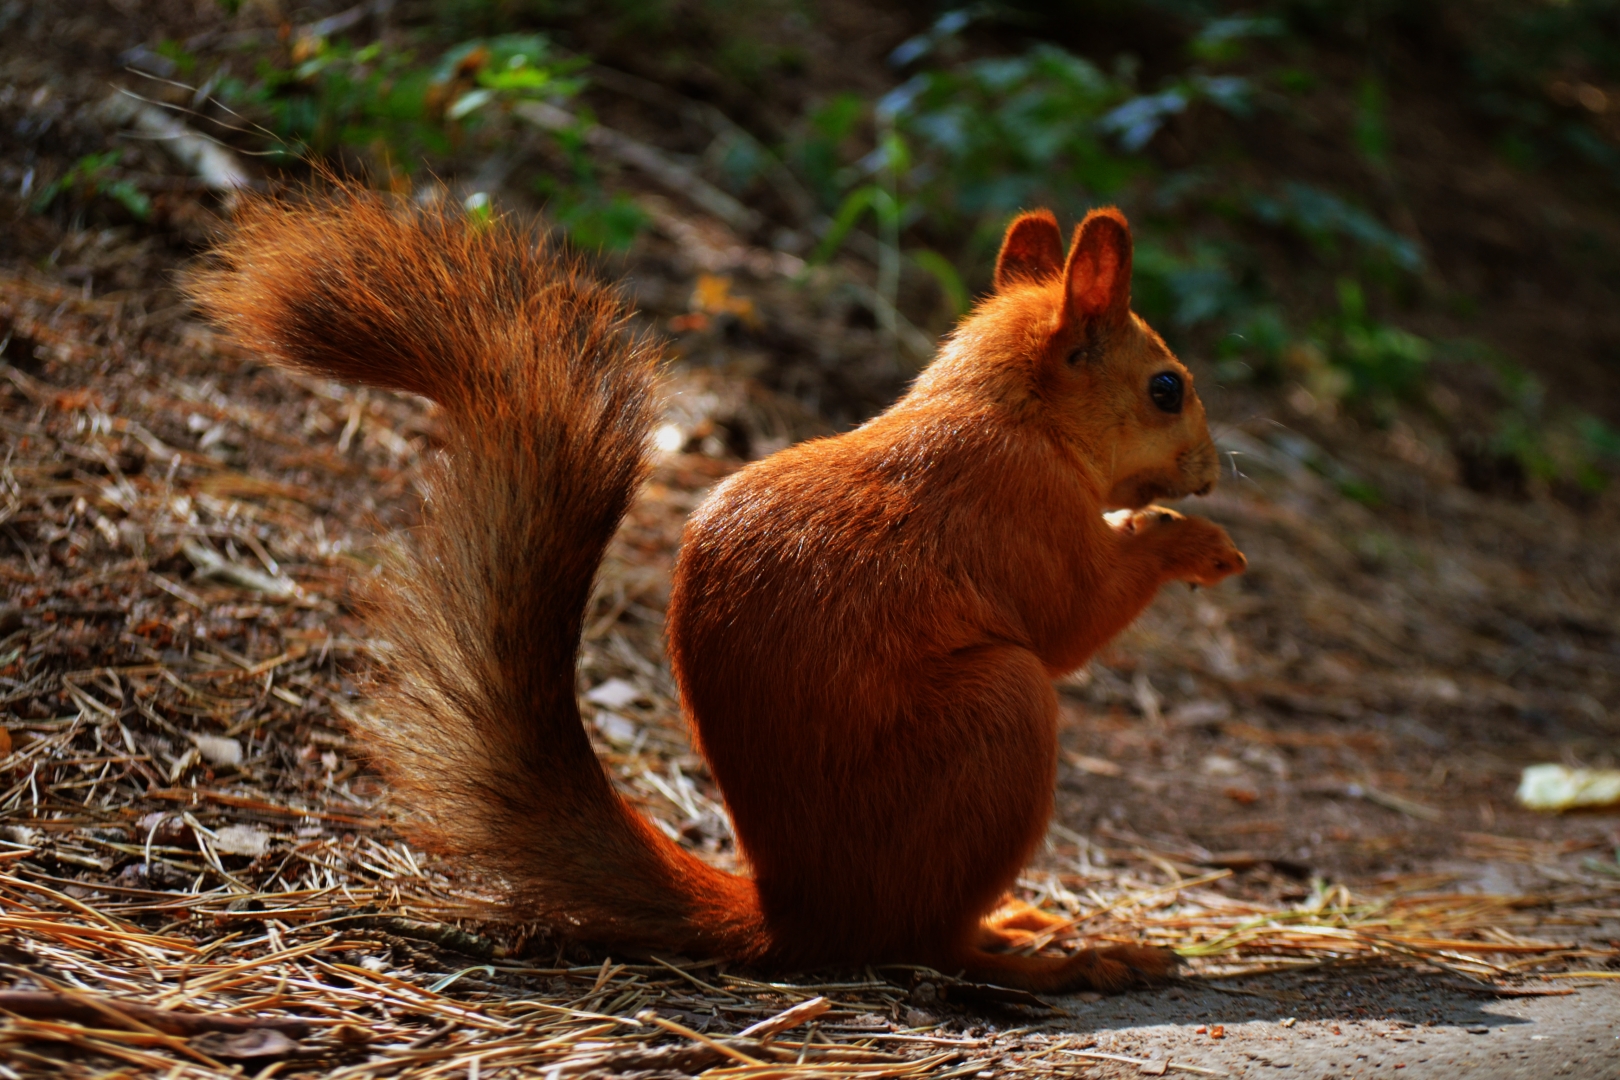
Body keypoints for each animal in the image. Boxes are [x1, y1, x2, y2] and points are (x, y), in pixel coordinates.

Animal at [196, 190, 1244, 990]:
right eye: (1166, 388)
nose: (1211, 470)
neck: (1006, 408)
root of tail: (799, 915)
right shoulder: (1021, 512)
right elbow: (1076, 618)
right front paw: (1190, 542)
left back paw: (1023, 922)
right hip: (1001, 717)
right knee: (935, 945)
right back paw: (1064, 963)